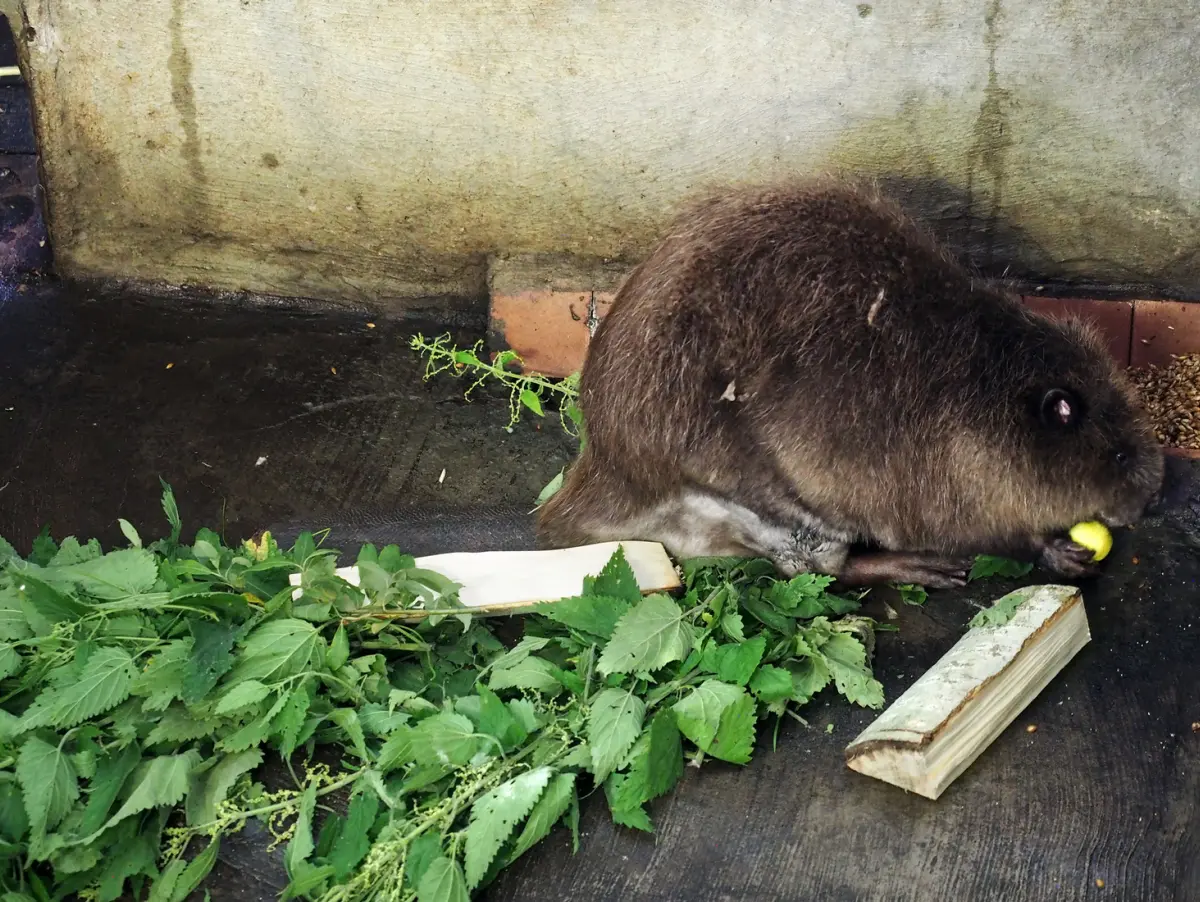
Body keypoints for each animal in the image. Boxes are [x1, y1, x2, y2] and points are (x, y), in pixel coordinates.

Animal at [532, 179, 1161, 587]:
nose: (1149, 499)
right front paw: (1059, 551)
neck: (979, 380)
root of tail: (597, 479)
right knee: (815, 568)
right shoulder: (938, 478)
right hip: (767, 503)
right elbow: (977, 528)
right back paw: (920, 568)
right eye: (1120, 455)